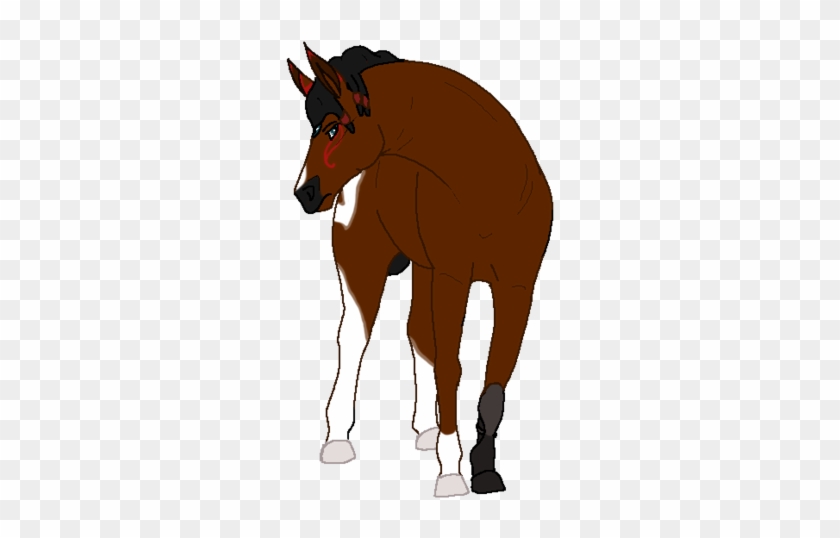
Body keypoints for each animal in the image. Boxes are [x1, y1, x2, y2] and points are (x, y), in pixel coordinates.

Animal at [287, 43, 553, 498]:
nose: (304, 192)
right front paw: (451, 473)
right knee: (354, 338)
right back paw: (338, 440)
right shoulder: (452, 276)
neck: (490, 186)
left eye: (334, 129)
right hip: (364, 262)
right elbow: (451, 367)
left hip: (425, 269)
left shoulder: (517, 288)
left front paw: (484, 470)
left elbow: (495, 380)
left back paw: (426, 430)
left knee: (418, 334)